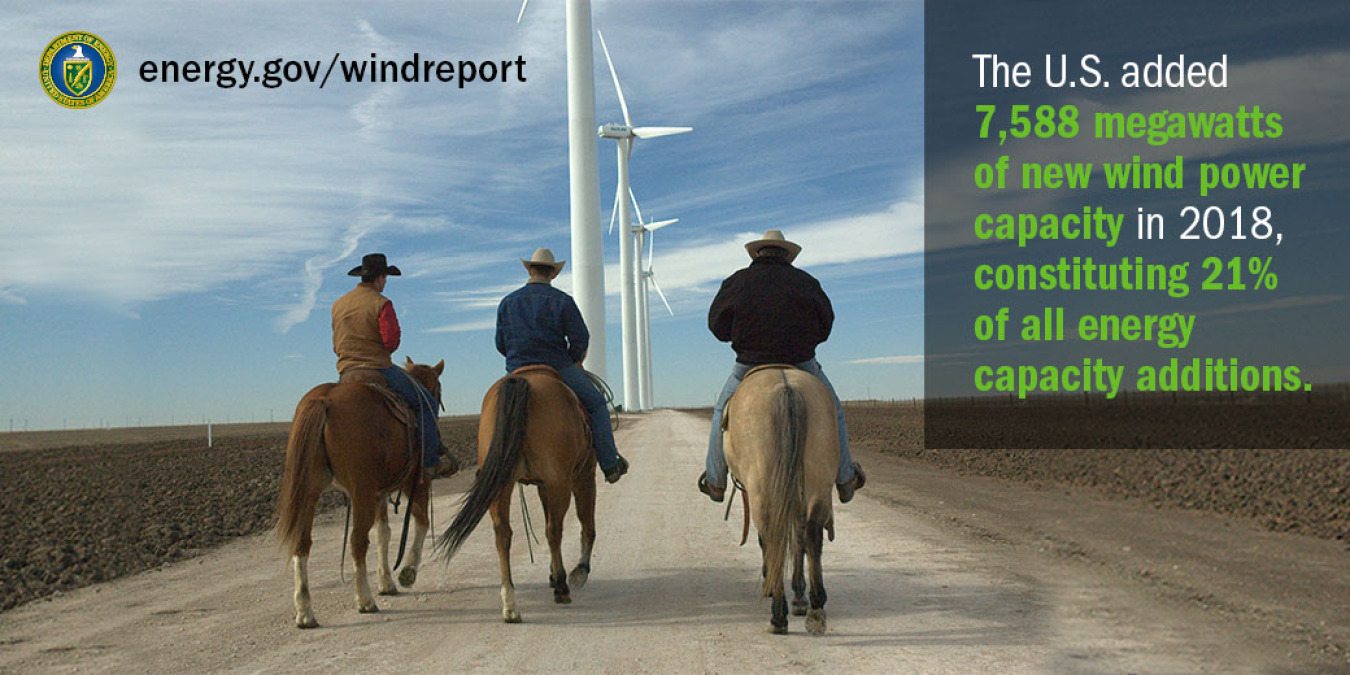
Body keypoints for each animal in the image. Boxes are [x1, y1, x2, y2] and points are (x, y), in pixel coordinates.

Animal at [274, 359, 448, 626]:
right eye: (438, 390)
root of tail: (325, 399)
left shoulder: (379, 493)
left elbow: (383, 533)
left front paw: (386, 583)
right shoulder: (416, 482)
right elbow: (421, 523)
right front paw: (407, 572)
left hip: (310, 494)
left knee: (302, 543)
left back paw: (305, 612)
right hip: (361, 491)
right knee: (357, 540)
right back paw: (365, 600)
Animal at [437, 367, 596, 623]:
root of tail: (521, 381)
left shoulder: (544, 485)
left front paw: (553, 574)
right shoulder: (583, 474)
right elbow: (587, 523)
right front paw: (578, 571)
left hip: (502, 482)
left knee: (503, 533)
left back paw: (510, 605)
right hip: (559, 482)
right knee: (554, 531)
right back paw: (562, 588)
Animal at [729, 364, 831, 631]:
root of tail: (787, 388)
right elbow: (798, 537)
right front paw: (799, 594)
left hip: (761, 488)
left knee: (773, 535)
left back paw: (778, 614)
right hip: (819, 483)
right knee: (812, 534)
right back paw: (816, 602)